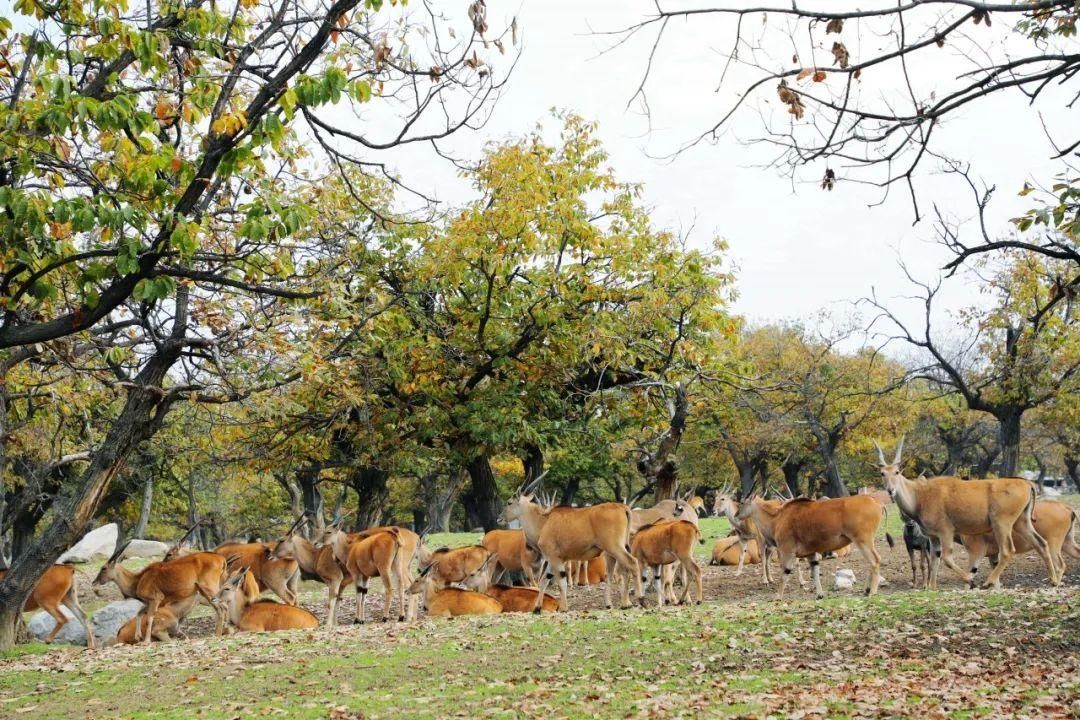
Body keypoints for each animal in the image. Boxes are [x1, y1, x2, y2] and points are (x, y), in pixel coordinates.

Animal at [498, 481, 639, 613]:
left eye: (509, 502)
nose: (499, 518)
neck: (544, 522)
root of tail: (623, 508)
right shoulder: (552, 560)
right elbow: (544, 580)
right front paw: (537, 608)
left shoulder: (555, 558)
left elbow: (561, 582)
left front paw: (563, 608)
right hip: (613, 551)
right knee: (614, 573)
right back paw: (614, 604)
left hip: (615, 548)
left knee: (631, 563)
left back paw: (636, 600)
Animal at [734, 490, 894, 604]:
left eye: (742, 502)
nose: (736, 515)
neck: (778, 517)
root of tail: (876, 502)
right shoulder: (811, 553)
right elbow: (815, 571)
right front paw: (820, 595)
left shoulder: (787, 551)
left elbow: (785, 573)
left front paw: (778, 596)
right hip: (863, 542)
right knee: (871, 562)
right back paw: (866, 590)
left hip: (863, 541)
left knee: (875, 560)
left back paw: (872, 592)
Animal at [872, 440, 1058, 591]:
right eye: (882, 473)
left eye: (897, 472)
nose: (891, 490)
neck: (920, 495)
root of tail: (1026, 483)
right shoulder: (933, 537)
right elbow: (935, 560)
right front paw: (932, 588)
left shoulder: (946, 531)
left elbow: (947, 558)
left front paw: (970, 581)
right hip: (1022, 522)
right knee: (1041, 543)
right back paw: (1054, 580)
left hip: (1001, 523)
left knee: (1007, 550)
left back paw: (987, 583)